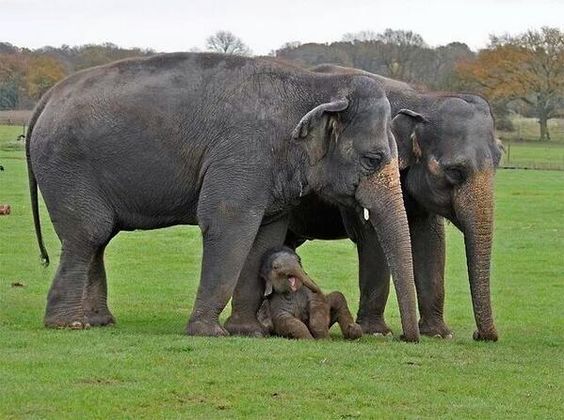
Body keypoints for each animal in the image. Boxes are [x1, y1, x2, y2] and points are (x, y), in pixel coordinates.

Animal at [231, 65, 504, 342]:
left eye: (499, 161)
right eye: (455, 172)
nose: (479, 335)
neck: (423, 99)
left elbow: (431, 242)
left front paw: (438, 334)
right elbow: (373, 239)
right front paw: (377, 332)